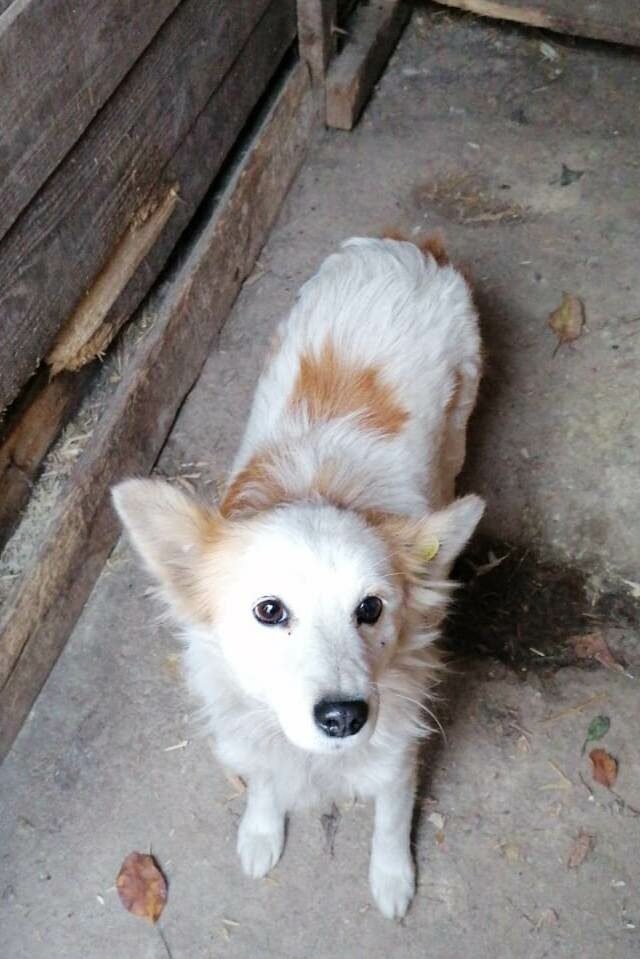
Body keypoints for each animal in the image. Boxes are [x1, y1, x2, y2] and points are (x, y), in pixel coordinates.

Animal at [112, 236, 482, 920]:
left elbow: (391, 820)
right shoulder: (255, 738)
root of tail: (400, 247)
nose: (343, 717)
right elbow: (263, 784)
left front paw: (393, 878)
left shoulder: (398, 752)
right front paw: (261, 832)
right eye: (269, 611)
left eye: (371, 609)